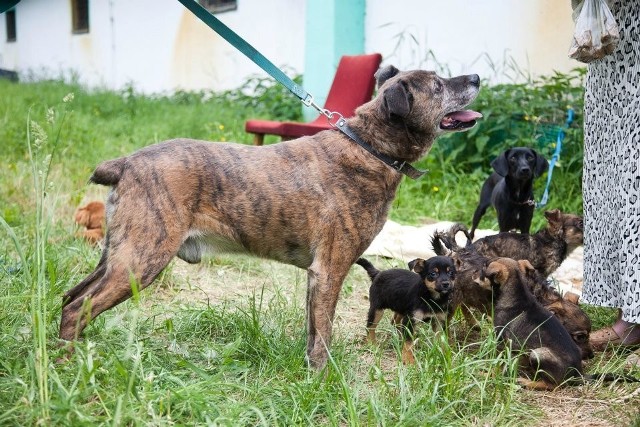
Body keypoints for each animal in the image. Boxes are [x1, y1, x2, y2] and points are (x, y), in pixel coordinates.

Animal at [60, 65, 480, 370]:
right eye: (438, 85)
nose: (476, 78)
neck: (369, 147)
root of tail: (126, 163)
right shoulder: (330, 271)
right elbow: (324, 335)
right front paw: (323, 379)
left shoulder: (316, 278)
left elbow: (313, 332)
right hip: (140, 260)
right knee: (78, 308)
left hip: (118, 255)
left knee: (71, 299)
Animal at [484, 258, 584, 392]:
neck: (518, 294)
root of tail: (577, 374)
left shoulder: (501, 342)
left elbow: (498, 363)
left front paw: (490, 375)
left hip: (537, 354)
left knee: (552, 385)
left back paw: (527, 382)